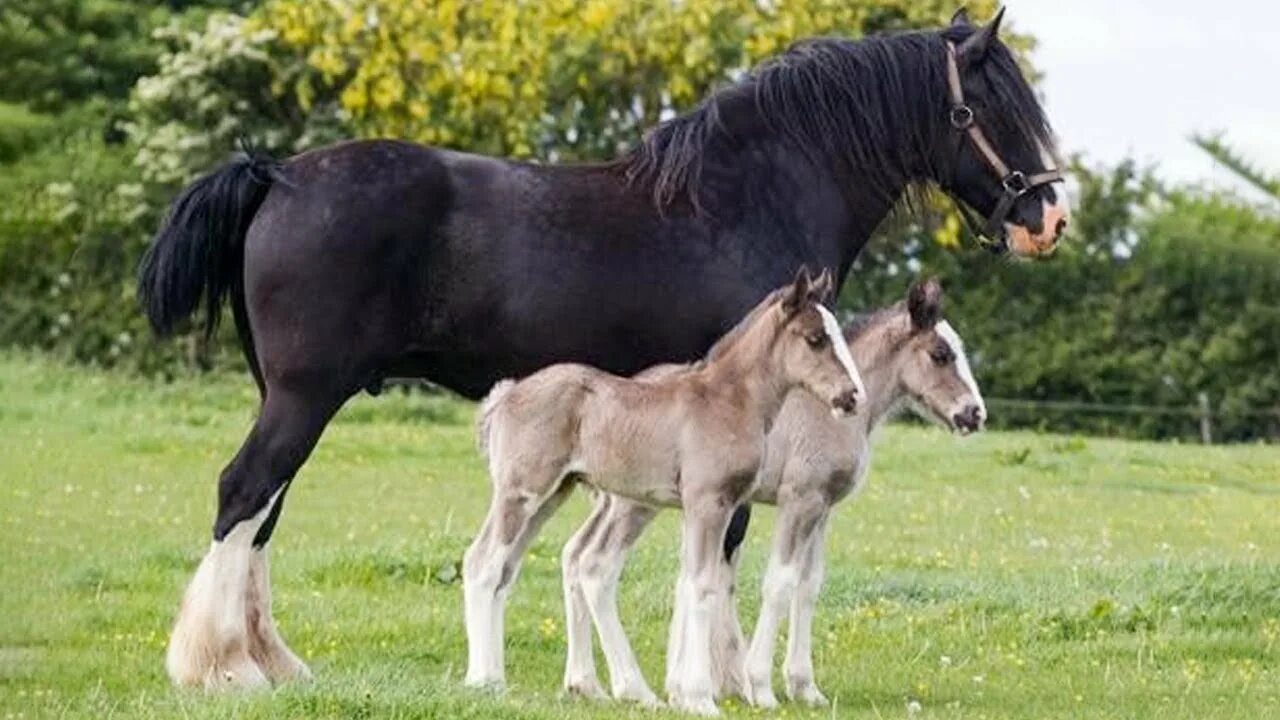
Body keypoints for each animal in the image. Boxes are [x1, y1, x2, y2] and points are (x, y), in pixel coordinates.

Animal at [460, 267, 860, 712]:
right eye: (815, 338)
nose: (851, 397)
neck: (728, 401)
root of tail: (506, 394)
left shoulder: (717, 505)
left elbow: (692, 582)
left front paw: (684, 693)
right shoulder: (708, 502)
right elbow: (703, 586)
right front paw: (701, 699)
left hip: (553, 494)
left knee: (507, 569)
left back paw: (509, 679)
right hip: (522, 491)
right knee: (483, 562)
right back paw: (483, 681)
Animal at [555, 278, 983, 702]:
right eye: (941, 354)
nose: (975, 414)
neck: (827, 410)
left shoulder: (822, 509)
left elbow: (809, 586)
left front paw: (805, 688)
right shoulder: (799, 500)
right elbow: (780, 583)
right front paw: (759, 686)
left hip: (617, 502)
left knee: (574, 554)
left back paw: (585, 682)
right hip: (634, 504)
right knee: (596, 565)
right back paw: (628, 687)